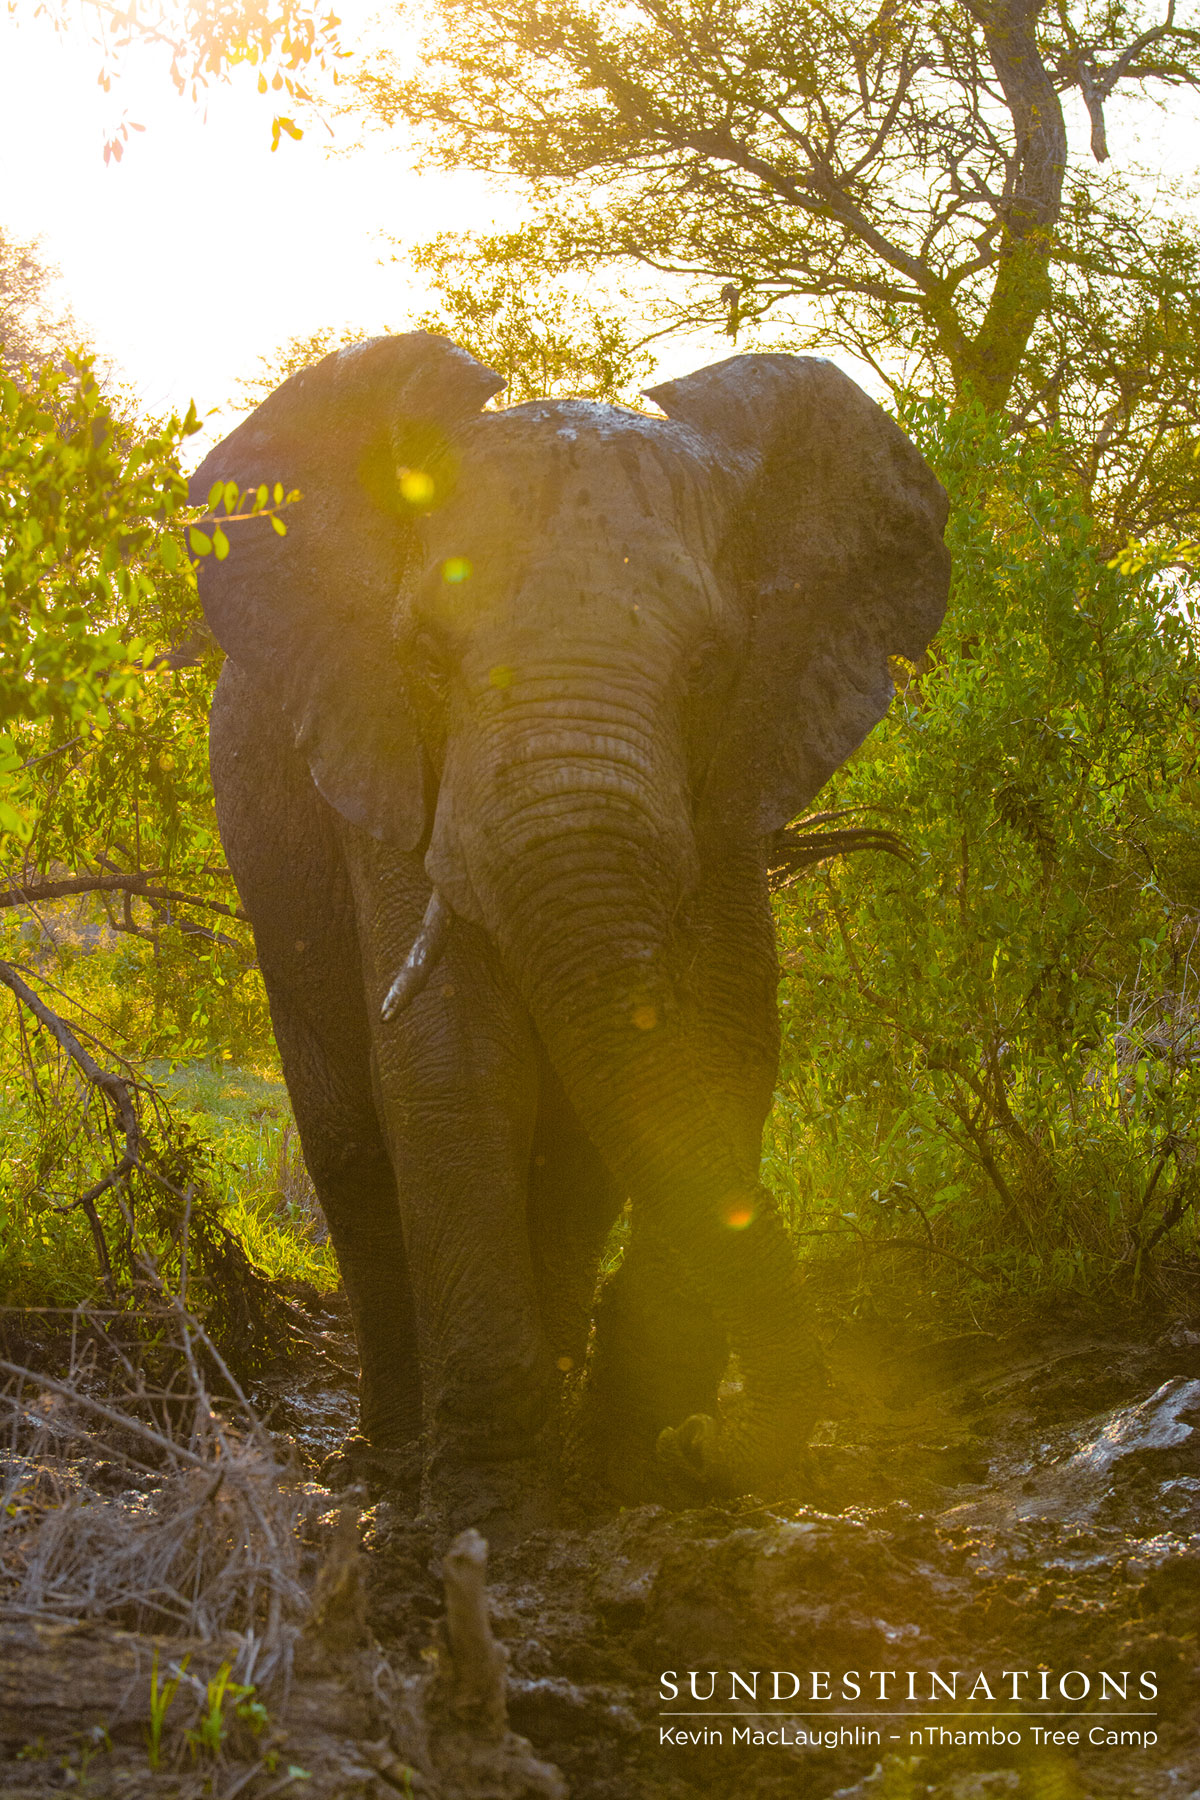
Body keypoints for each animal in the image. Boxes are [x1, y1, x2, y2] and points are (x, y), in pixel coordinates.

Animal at [190, 333, 949, 1534]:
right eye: (425, 662)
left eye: (710, 671)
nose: (709, 1447)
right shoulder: (382, 755)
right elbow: (449, 1058)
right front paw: (490, 1502)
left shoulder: (730, 780)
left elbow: (730, 1036)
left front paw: (638, 1457)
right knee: (349, 1136)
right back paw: (388, 1456)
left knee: (575, 1149)